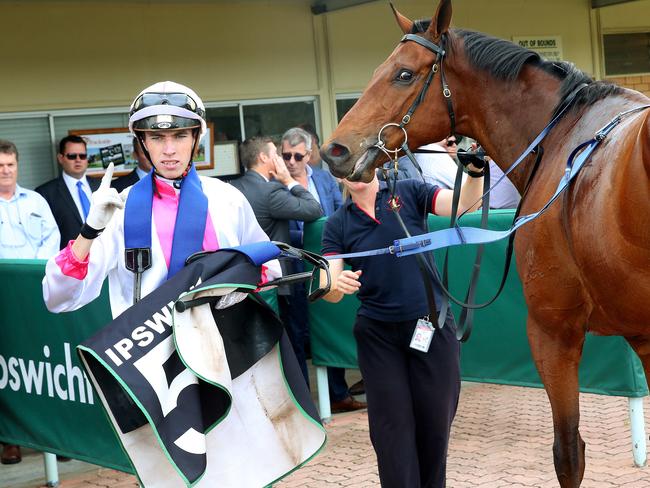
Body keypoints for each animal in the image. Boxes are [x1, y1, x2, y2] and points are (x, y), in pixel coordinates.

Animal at [322, 1, 648, 486]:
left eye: (403, 74)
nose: (335, 151)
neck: (560, 137)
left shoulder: (553, 330)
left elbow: (568, 453)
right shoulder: (640, 334)